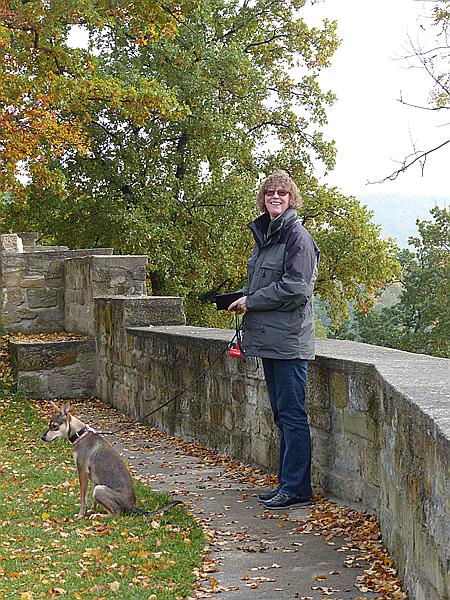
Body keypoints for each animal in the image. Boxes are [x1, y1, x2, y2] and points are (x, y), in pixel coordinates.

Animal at [40, 404, 181, 520]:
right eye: (49, 425)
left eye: (54, 426)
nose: (42, 437)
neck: (80, 435)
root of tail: (133, 507)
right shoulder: (93, 478)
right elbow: (92, 501)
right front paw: (91, 511)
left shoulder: (83, 473)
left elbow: (83, 497)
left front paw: (81, 515)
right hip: (98, 487)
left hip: (100, 490)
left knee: (116, 514)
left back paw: (99, 516)